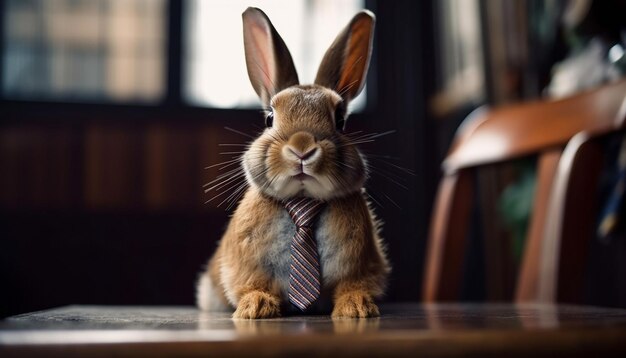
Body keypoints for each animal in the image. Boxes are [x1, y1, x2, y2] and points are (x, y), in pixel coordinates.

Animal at [196, 6, 390, 318]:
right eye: (269, 118)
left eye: (340, 121)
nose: (302, 148)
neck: (302, 201)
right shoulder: (246, 266)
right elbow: (252, 284)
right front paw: (256, 307)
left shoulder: (361, 265)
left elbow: (353, 285)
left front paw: (357, 308)